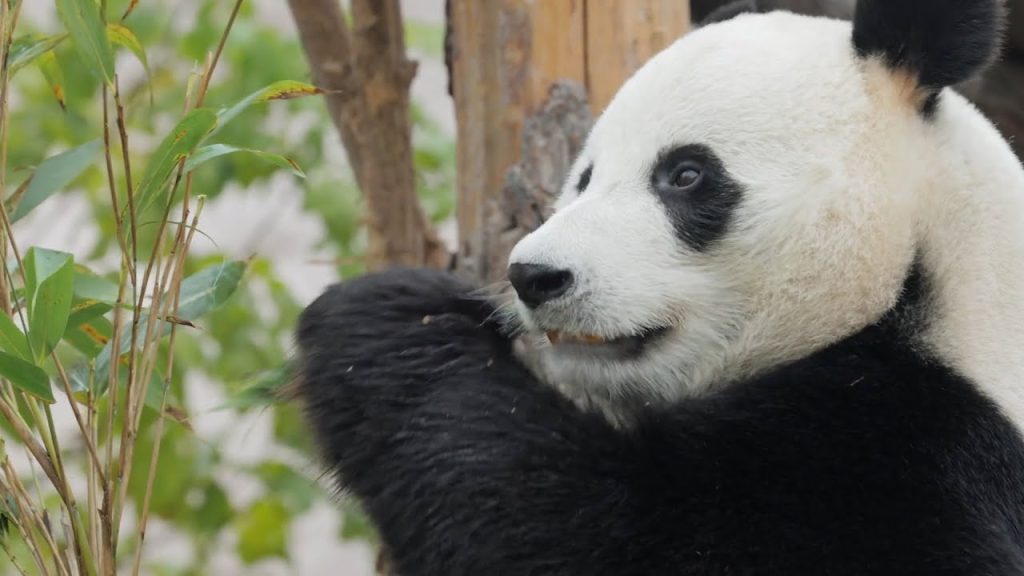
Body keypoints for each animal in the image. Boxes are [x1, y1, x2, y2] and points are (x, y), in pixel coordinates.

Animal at [294, 0, 1024, 574]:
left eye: (686, 175)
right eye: (585, 176)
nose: (535, 276)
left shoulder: (928, 456)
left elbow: (589, 531)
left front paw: (382, 321)